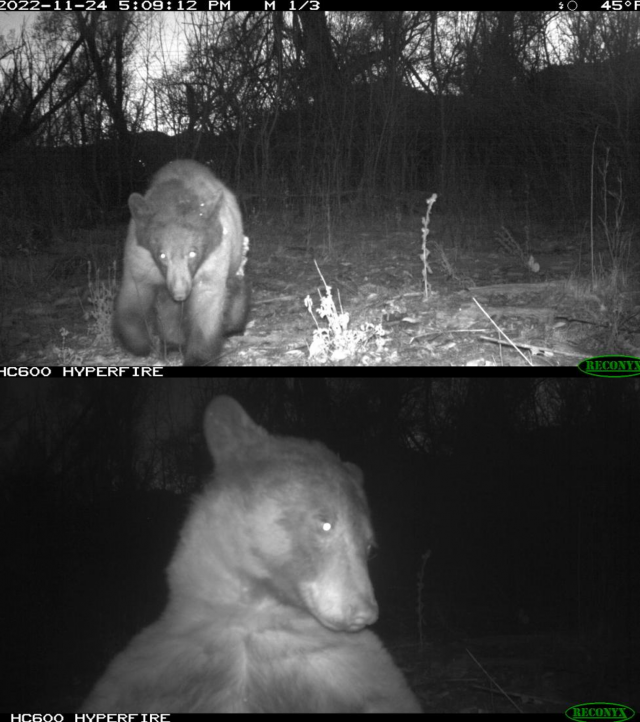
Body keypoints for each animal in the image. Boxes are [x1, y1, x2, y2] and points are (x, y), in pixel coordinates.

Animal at [81, 396, 420, 712]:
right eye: (325, 523)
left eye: (370, 547)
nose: (365, 611)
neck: (255, 612)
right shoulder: (155, 667)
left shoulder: (351, 668)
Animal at [114, 159, 249, 366]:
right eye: (162, 255)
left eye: (193, 253)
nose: (180, 293)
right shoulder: (140, 257)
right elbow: (132, 299)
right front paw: (142, 344)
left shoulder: (213, 258)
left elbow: (206, 306)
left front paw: (199, 357)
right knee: (167, 306)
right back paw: (172, 344)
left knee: (235, 284)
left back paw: (234, 326)